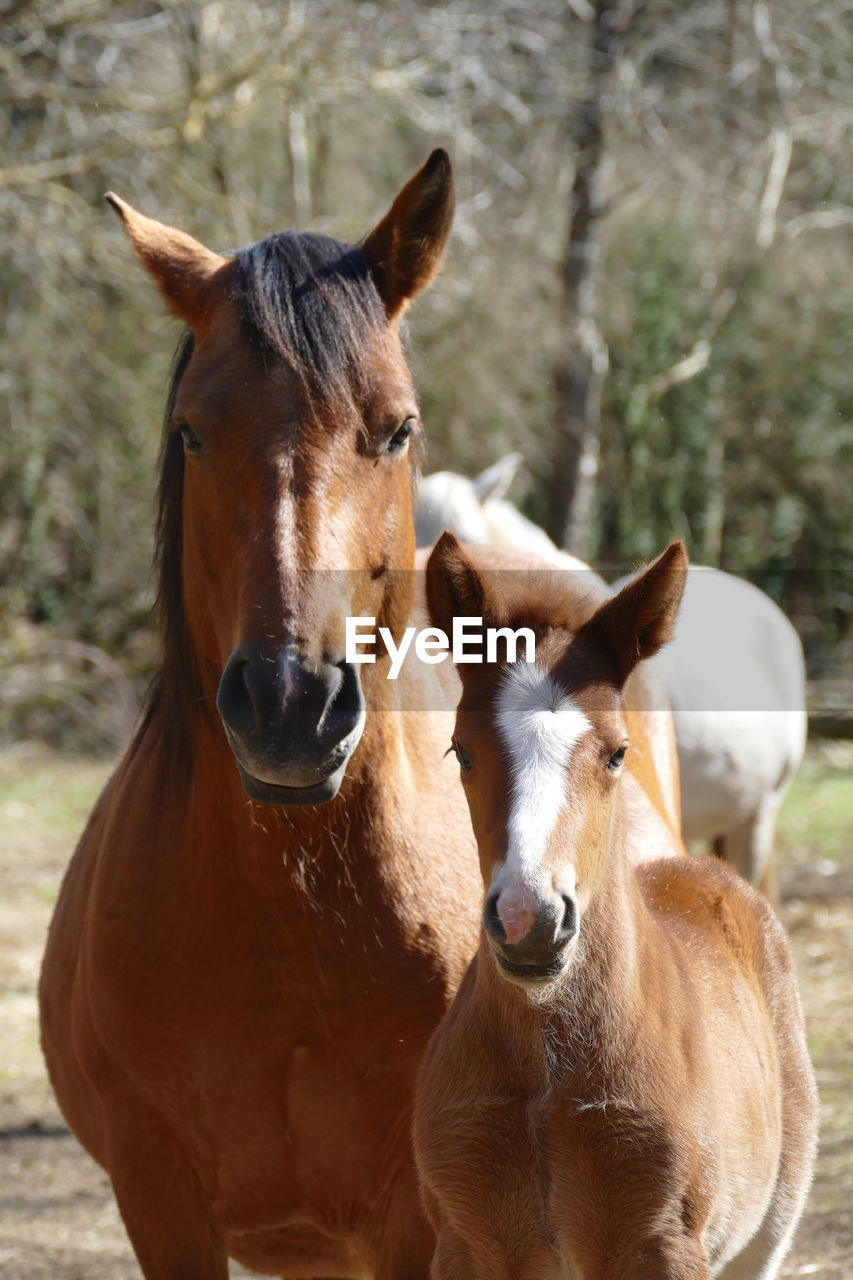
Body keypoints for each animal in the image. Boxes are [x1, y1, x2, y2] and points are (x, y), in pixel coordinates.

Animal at [38, 152, 676, 1280]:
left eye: (397, 426)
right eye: (191, 430)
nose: (290, 707)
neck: (291, 910)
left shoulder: (414, 1215)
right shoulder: (159, 1201)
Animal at [414, 529, 814, 1280]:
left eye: (616, 753)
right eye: (460, 751)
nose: (530, 922)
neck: (548, 1077)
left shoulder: (661, 1246)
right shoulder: (463, 1243)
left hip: (767, 1237)